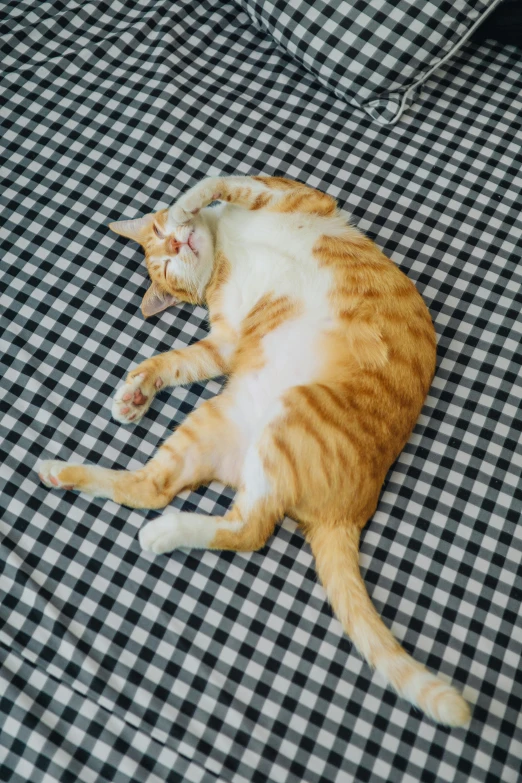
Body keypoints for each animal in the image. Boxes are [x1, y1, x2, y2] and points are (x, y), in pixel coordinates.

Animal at [36, 175, 468, 724]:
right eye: (163, 263)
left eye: (160, 239)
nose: (175, 245)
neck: (224, 248)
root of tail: (350, 512)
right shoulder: (224, 341)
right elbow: (174, 360)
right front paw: (134, 393)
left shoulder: (290, 196)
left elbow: (216, 181)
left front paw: (184, 206)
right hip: (245, 420)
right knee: (218, 517)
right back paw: (78, 483)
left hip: (262, 423)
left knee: (202, 509)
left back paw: (140, 519)